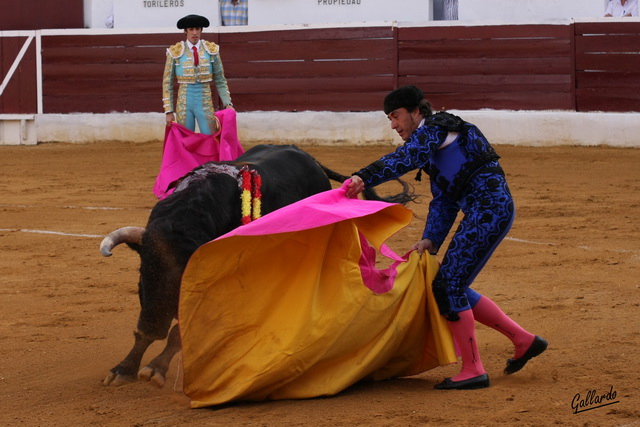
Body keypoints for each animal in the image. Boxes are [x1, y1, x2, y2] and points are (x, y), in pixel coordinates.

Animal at [99, 144, 410, 388]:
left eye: (182, 283)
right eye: (142, 278)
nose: (153, 328)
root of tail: (308, 157)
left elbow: (181, 331)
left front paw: (156, 368)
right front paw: (124, 368)